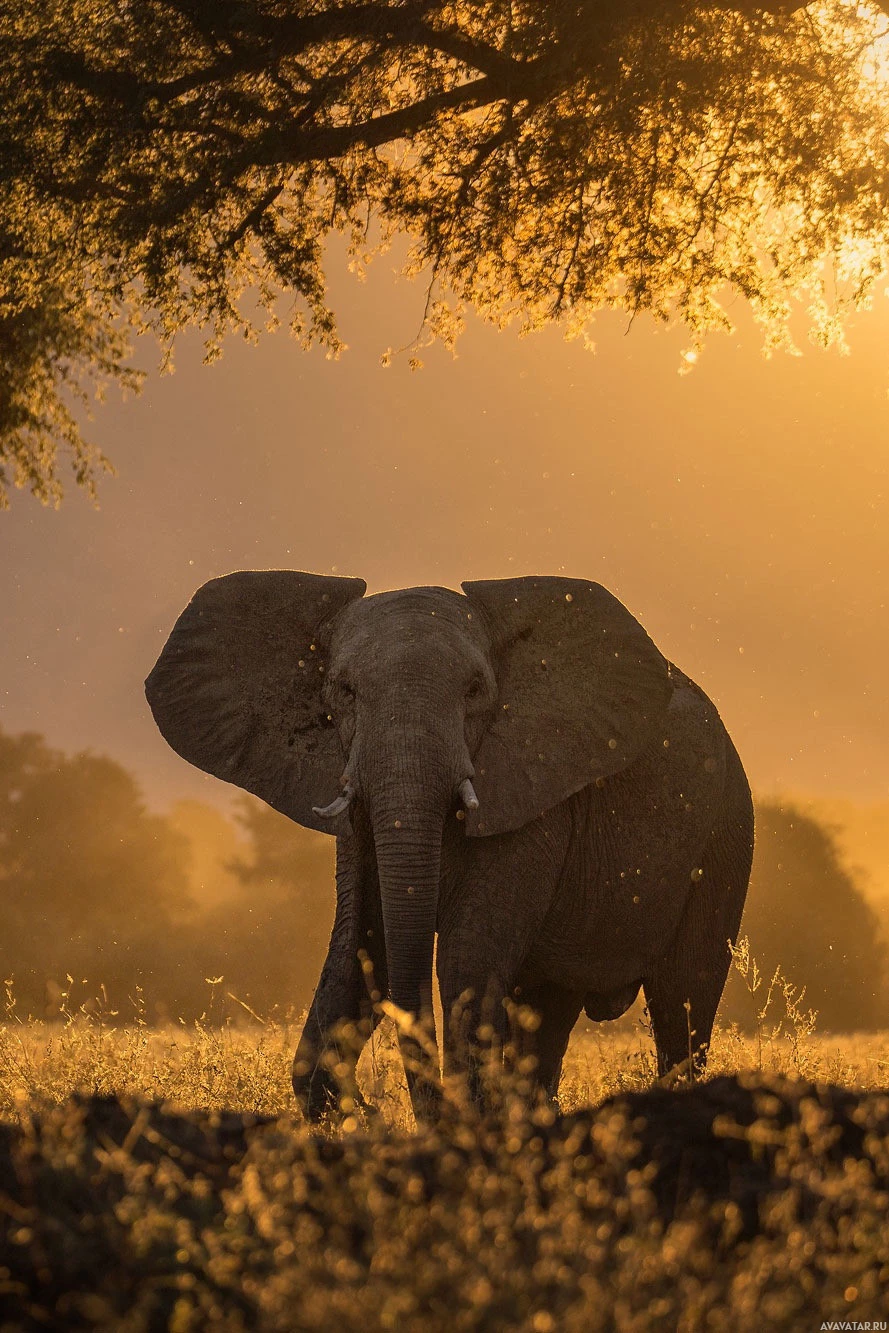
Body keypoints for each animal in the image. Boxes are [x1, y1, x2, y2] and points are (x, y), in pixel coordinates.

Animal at [144, 570, 751, 1114]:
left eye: (476, 691)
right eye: (344, 691)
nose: (368, 1104)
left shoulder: (530, 795)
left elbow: (466, 954)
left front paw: (462, 1116)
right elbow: (361, 942)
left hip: (726, 831)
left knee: (683, 1003)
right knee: (547, 1007)